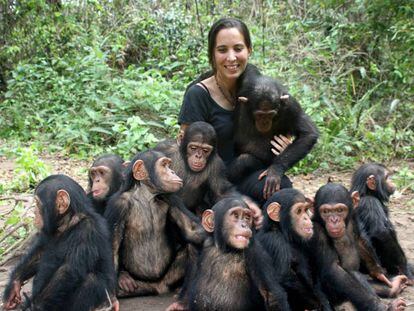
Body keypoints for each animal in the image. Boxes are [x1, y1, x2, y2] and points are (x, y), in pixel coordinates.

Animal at [2, 176, 117, 311]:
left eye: (37, 203)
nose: (35, 213)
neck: (68, 222)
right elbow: (40, 252)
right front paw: (13, 286)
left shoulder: (88, 230)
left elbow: (68, 270)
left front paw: (34, 307)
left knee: (92, 280)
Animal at [104, 150, 205, 298]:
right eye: (164, 165)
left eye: (169, 165)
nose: (173, 171)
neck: (146, 196)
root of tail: (158, 288)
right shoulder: (117, 205)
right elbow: (113, 246)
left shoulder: (171, 197)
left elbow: (192, 229)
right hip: (141, 285)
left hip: (167, 280)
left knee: (192, 245)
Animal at [228, 73, 318, 205]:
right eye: (260, 115)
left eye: (270, 114)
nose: (265, 122)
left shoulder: (292, 106)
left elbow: (308, 134)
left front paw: (275, 171)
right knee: (245, 160)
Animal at [312, 182, 406, 310]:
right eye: (326, 212)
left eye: (340, 210)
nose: (334, 220)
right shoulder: (317, 232)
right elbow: (334, 269)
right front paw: (380, 307)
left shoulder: (354, 217)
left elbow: (359, 242)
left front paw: (378, 272)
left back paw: (393, 285)